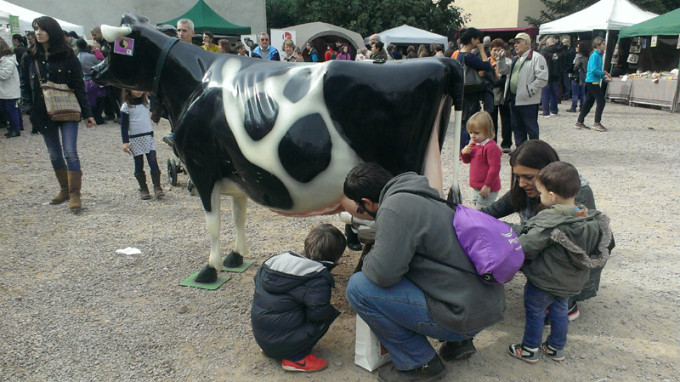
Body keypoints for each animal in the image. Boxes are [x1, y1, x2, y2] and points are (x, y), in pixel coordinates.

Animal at [93, 14, 464, 284]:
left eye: (113, 48)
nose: (94, 70)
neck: (195, 82)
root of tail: (441, 63)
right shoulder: (235, 172)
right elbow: (238, 216)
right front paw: (236, 256)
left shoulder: (201, 167)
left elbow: (213, 224)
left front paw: (210, 269)